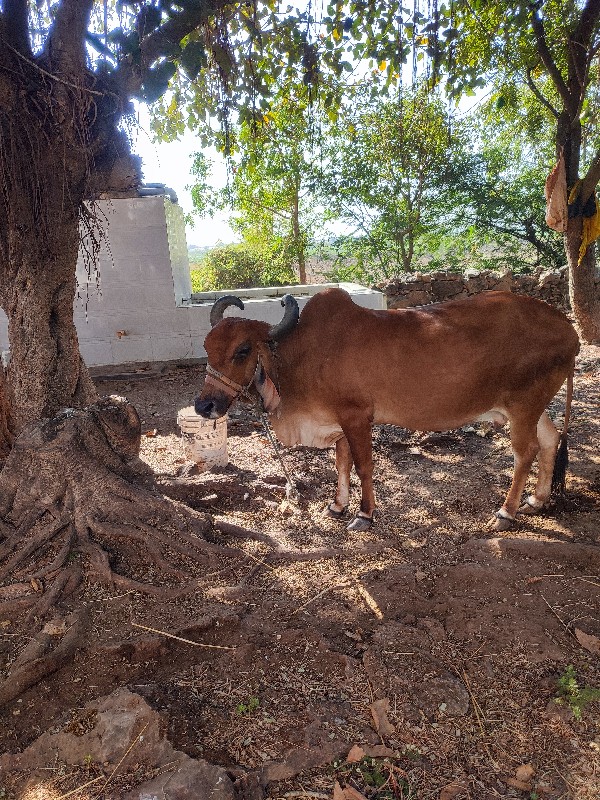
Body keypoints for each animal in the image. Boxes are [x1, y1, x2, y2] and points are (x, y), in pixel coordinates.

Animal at [197, 288, 580, 532]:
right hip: (532, 407)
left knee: (525, 452)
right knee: (550, 441)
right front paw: (337, 505)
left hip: (523, 406)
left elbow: (363, 466)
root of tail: (567, 329)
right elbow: (342, 463)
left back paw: (505, 512)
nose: (204, 405)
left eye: (243, 350)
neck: (301, 353)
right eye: (207, 348)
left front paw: (365, 514)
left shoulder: (356, 417)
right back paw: (538, 500)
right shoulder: (338, 421)